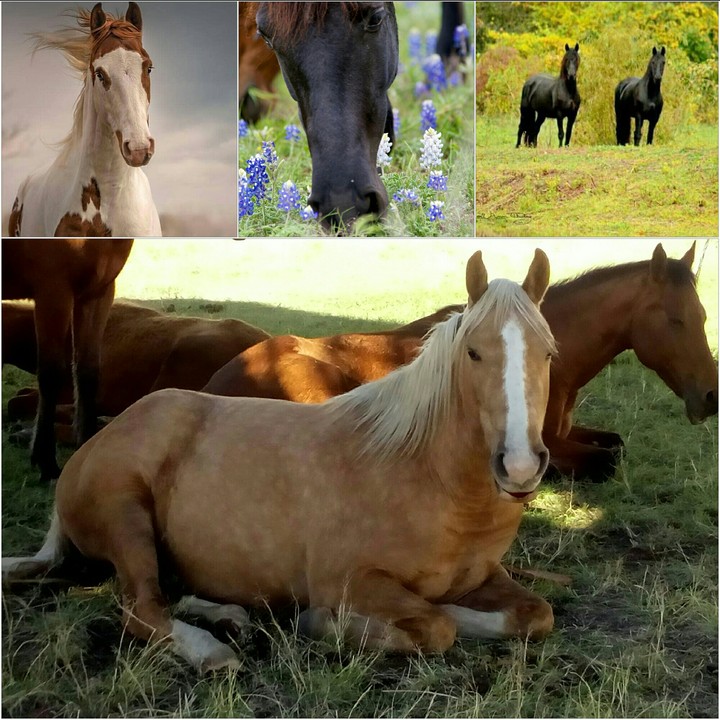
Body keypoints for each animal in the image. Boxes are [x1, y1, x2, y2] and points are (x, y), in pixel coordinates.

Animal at [202, 244, 716, 482]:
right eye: (675, 320)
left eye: (702, 315)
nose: (711, 397)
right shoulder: (550, 446)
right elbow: (607, 460)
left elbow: (616, 442)